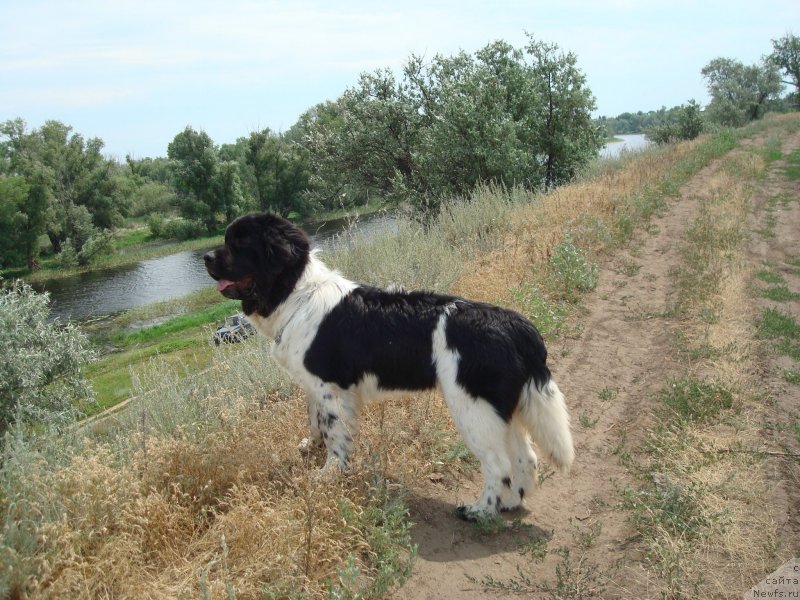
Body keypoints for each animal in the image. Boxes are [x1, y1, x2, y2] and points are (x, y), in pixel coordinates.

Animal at [203, 212, 572, 520]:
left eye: (238, 245)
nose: (206, 258)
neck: (295, 294)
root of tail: (514, 324)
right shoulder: (317, 387)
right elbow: (315, 421)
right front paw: (312, 447)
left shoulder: (330, 387)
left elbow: (335, 432)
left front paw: (329, 474)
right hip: (503, 409)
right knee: (526, 458)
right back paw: (511, 503)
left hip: (473, 409)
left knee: (498, 464)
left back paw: (480, 510)